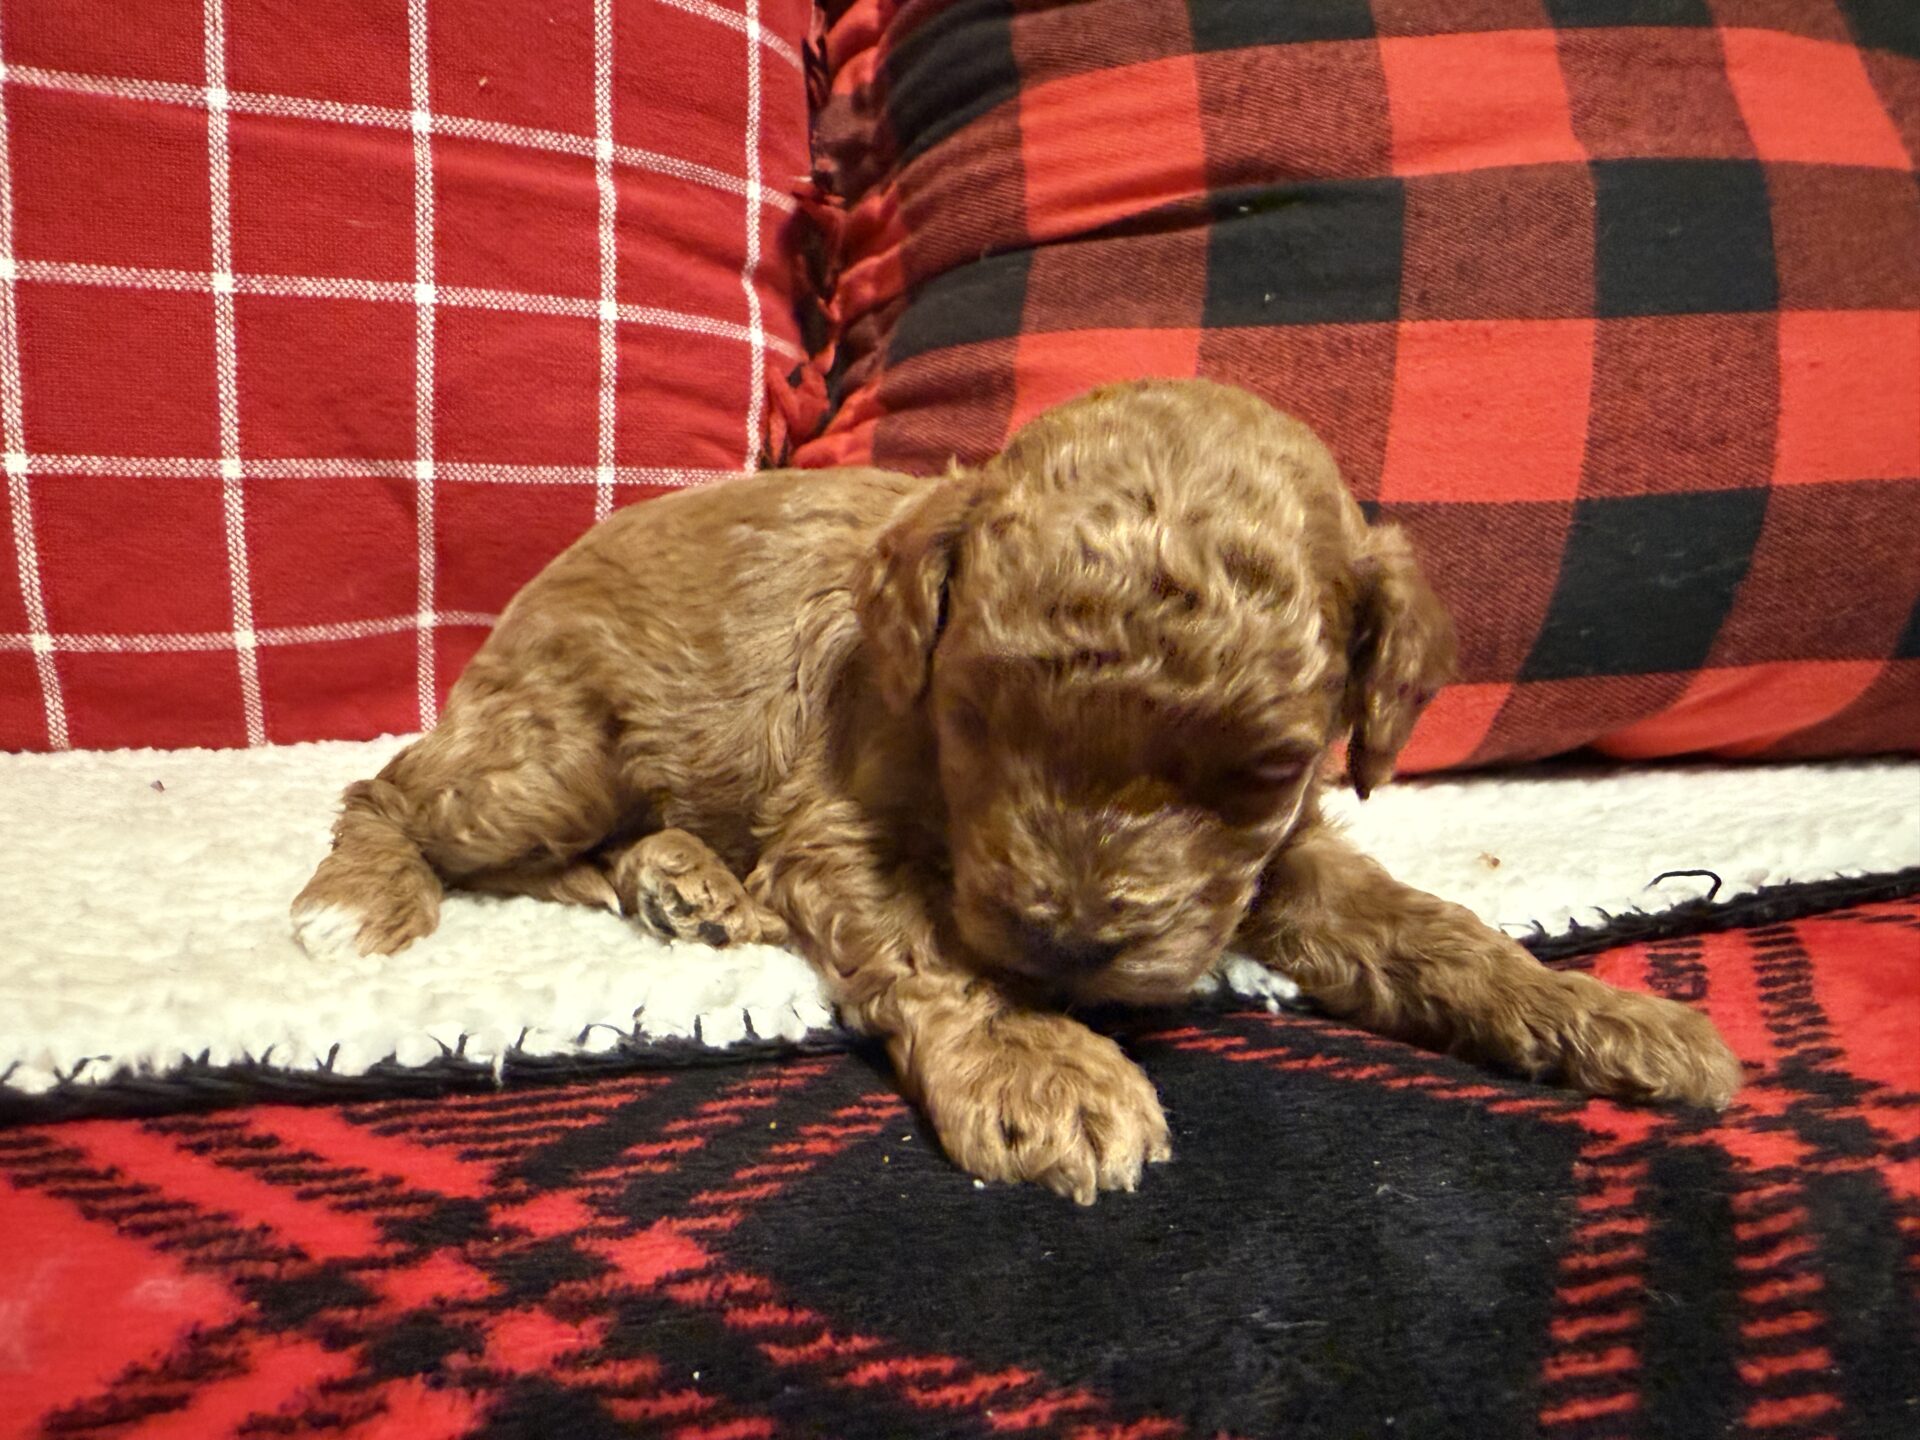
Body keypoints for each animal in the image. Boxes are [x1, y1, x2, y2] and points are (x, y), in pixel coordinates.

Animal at [293, 379, 1741, 1202]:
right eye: (981, 718)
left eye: (1267, 768)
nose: (1069, 947)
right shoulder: (838, 828)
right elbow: (933, 951)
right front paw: (1040, 1066)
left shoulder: (1279, 860)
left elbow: (1429, 930)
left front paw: (1603, 1017)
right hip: (553, 751)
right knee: (400, 795)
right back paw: (363, 897)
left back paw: (685, 879)